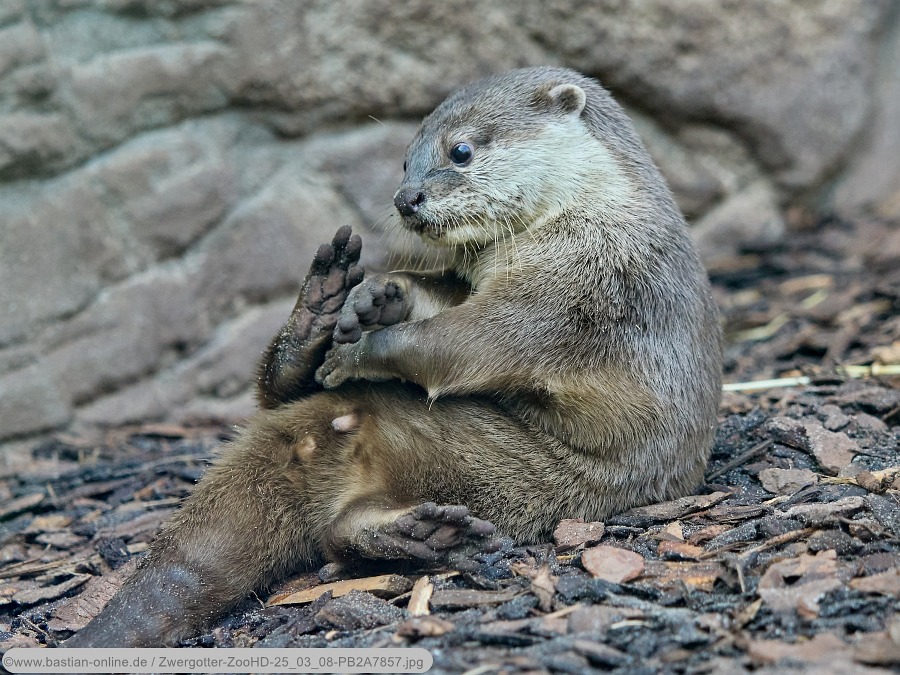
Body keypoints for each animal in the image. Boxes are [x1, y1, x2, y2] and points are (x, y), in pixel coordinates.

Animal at [65, 66, 722, 647]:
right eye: (406, 160)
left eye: (460, 151)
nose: (408, 197)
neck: (592, 211)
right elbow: (441, 296)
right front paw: (378, 297)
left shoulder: (578, 285)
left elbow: (465, 346)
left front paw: (362, 347)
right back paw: (317, 318)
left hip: (491, 471)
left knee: (341, 529)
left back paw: (416, 531)